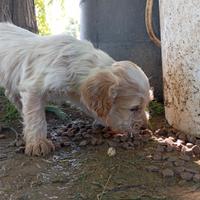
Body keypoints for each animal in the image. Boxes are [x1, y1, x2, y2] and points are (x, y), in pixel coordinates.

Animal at [0, 23, 152, 156]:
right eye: (134, 108)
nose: (145, 127)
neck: (75, 62)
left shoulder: (78, 94)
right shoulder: (33, 87)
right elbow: (35, 117)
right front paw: (38, 143)